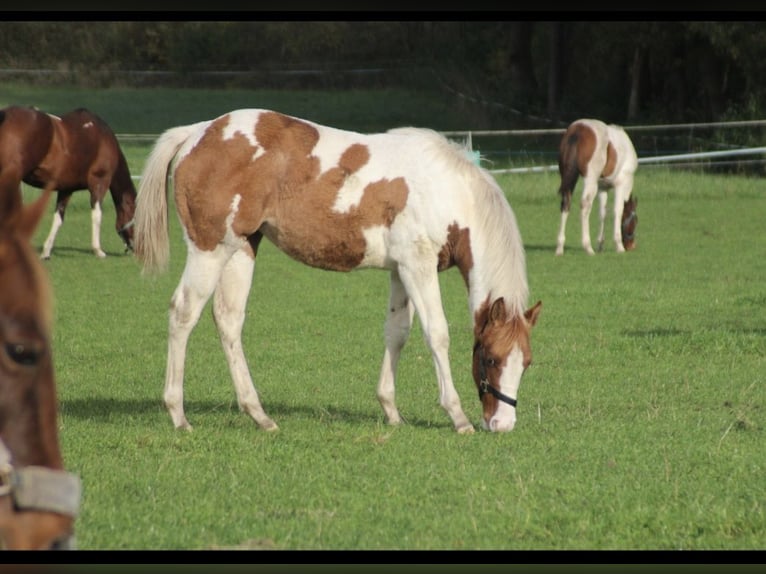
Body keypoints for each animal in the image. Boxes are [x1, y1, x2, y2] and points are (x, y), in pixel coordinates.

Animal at [0, 105, 137, 259]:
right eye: (136, 215)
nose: (135, 248)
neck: (102, 137)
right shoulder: (100, 182)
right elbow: (97, 214)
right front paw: (98, 250)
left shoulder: (66, 189)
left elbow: (58, 219)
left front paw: (46, 252)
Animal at [133, 109, 542, 434]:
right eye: (490, 358)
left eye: (527, 362)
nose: (502, 424)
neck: (447, 193)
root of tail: (198, 132)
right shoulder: (419, 267)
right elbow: (437, 334)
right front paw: (457, 417)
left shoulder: (401, 270)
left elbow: (397, 332)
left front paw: (392, 412)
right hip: (210, 250)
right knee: (184, 312)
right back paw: (179, 415)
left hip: (242, 248)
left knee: (229, 320)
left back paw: (259, 415)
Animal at [555, 118, 638, 256]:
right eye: (635, 221)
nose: (631, 246)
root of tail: (578, 129)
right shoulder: (621, 184)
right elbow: (618, 211)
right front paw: (618, 245)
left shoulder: (602, 188)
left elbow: (602, 213)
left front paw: (600, 244)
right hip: (590, 181)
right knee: (585, 206)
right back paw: (588, 247)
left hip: (569, 178)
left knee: (565, 204)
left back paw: (560, 247)